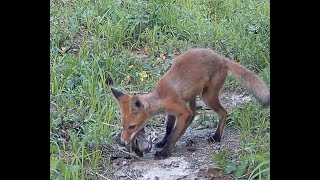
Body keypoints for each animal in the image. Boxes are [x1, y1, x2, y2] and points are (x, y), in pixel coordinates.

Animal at [111, 47, 268, 159]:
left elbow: (173, 134)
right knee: (195, 113)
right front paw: (162, 142)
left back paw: (217, 137)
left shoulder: (182, 111)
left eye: (132, 126)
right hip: (194, 95)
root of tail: (220, 57)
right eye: (123, 125)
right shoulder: (172, 112)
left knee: (223, 112)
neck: (160, 97)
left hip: (207, 97)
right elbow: (168, 128)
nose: (123, 142)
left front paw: (165, 152)